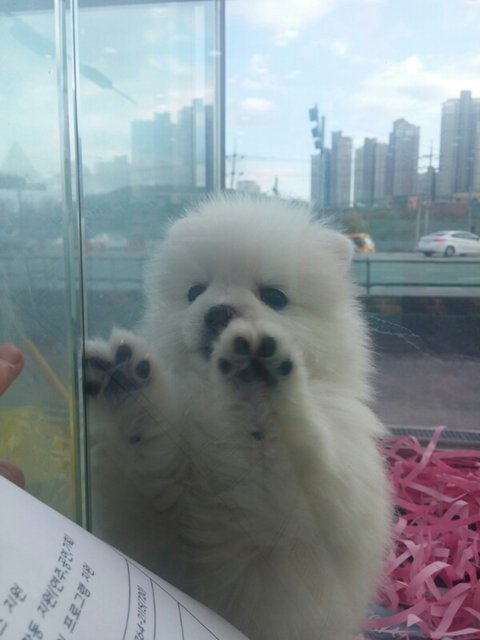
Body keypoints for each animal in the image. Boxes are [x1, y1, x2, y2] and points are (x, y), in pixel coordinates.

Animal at [86, 196, 391, 640]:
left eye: (275, 297)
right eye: (195, 292)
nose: (218, 313)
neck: (210, 399)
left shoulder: (292, 520)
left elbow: (274, 446)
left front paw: (261, 381)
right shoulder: (147, 513)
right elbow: (147, 452)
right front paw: (127, 390)